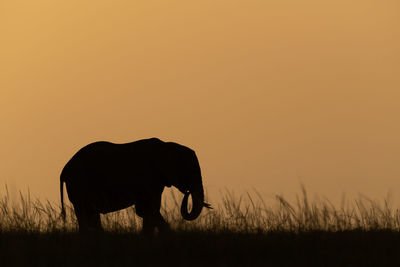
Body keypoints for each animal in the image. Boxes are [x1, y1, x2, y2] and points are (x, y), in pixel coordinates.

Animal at [60, 138, 212, 234]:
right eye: (190, 171)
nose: (187, 192)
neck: (166, 147)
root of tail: (65, 169)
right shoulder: (149, 180)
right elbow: (148, 209)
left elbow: (148, 211)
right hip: (79, 185)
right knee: (86, 214)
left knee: (90, 215)